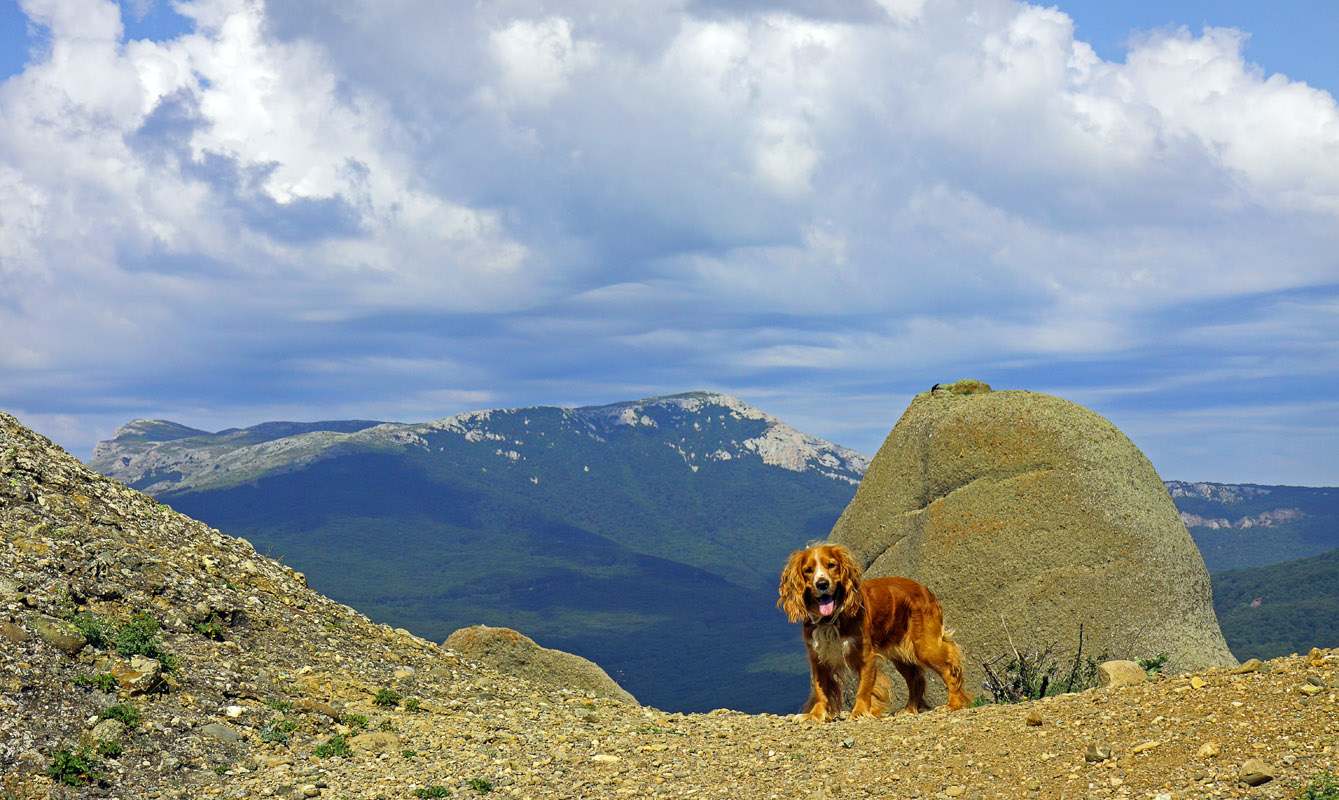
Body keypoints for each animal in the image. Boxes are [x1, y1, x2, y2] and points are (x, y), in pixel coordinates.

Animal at [776, 544, 974, 718]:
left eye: (831, 565)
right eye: (808, 570)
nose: (822, 584)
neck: (831, 619)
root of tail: (926, 590)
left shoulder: (865, 654)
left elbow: (863, 688)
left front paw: (860, 712)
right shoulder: (818, 657)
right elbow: (820, 690)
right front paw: (816, 715)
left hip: (925, 646)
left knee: (950, 670)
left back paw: (953, 704)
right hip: (901, 655)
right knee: (915, 678)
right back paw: (910, 709)